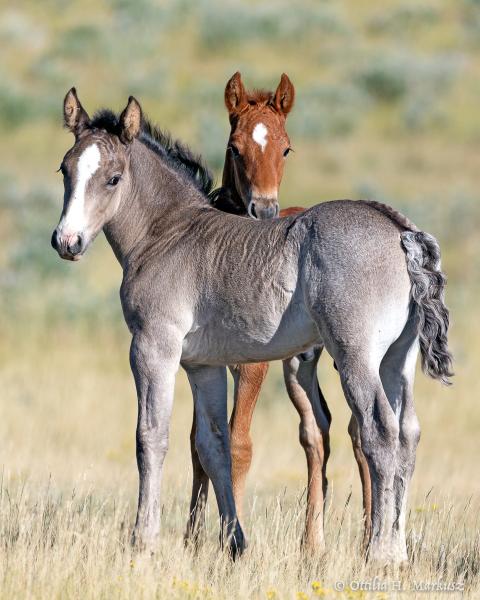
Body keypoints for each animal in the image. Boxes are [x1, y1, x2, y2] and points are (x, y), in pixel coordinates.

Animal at [187, 72, 372, 552]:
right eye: (234, 146)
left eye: (286, 148)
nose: (263, 208)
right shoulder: (198, 361)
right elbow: (199, 444)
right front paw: (189, 541)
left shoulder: (252, 368)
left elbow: (237, 445)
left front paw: (228, 543)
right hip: (298, 364)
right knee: (317, 431)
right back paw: (313, 547)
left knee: (360, 429)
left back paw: (370, 544)